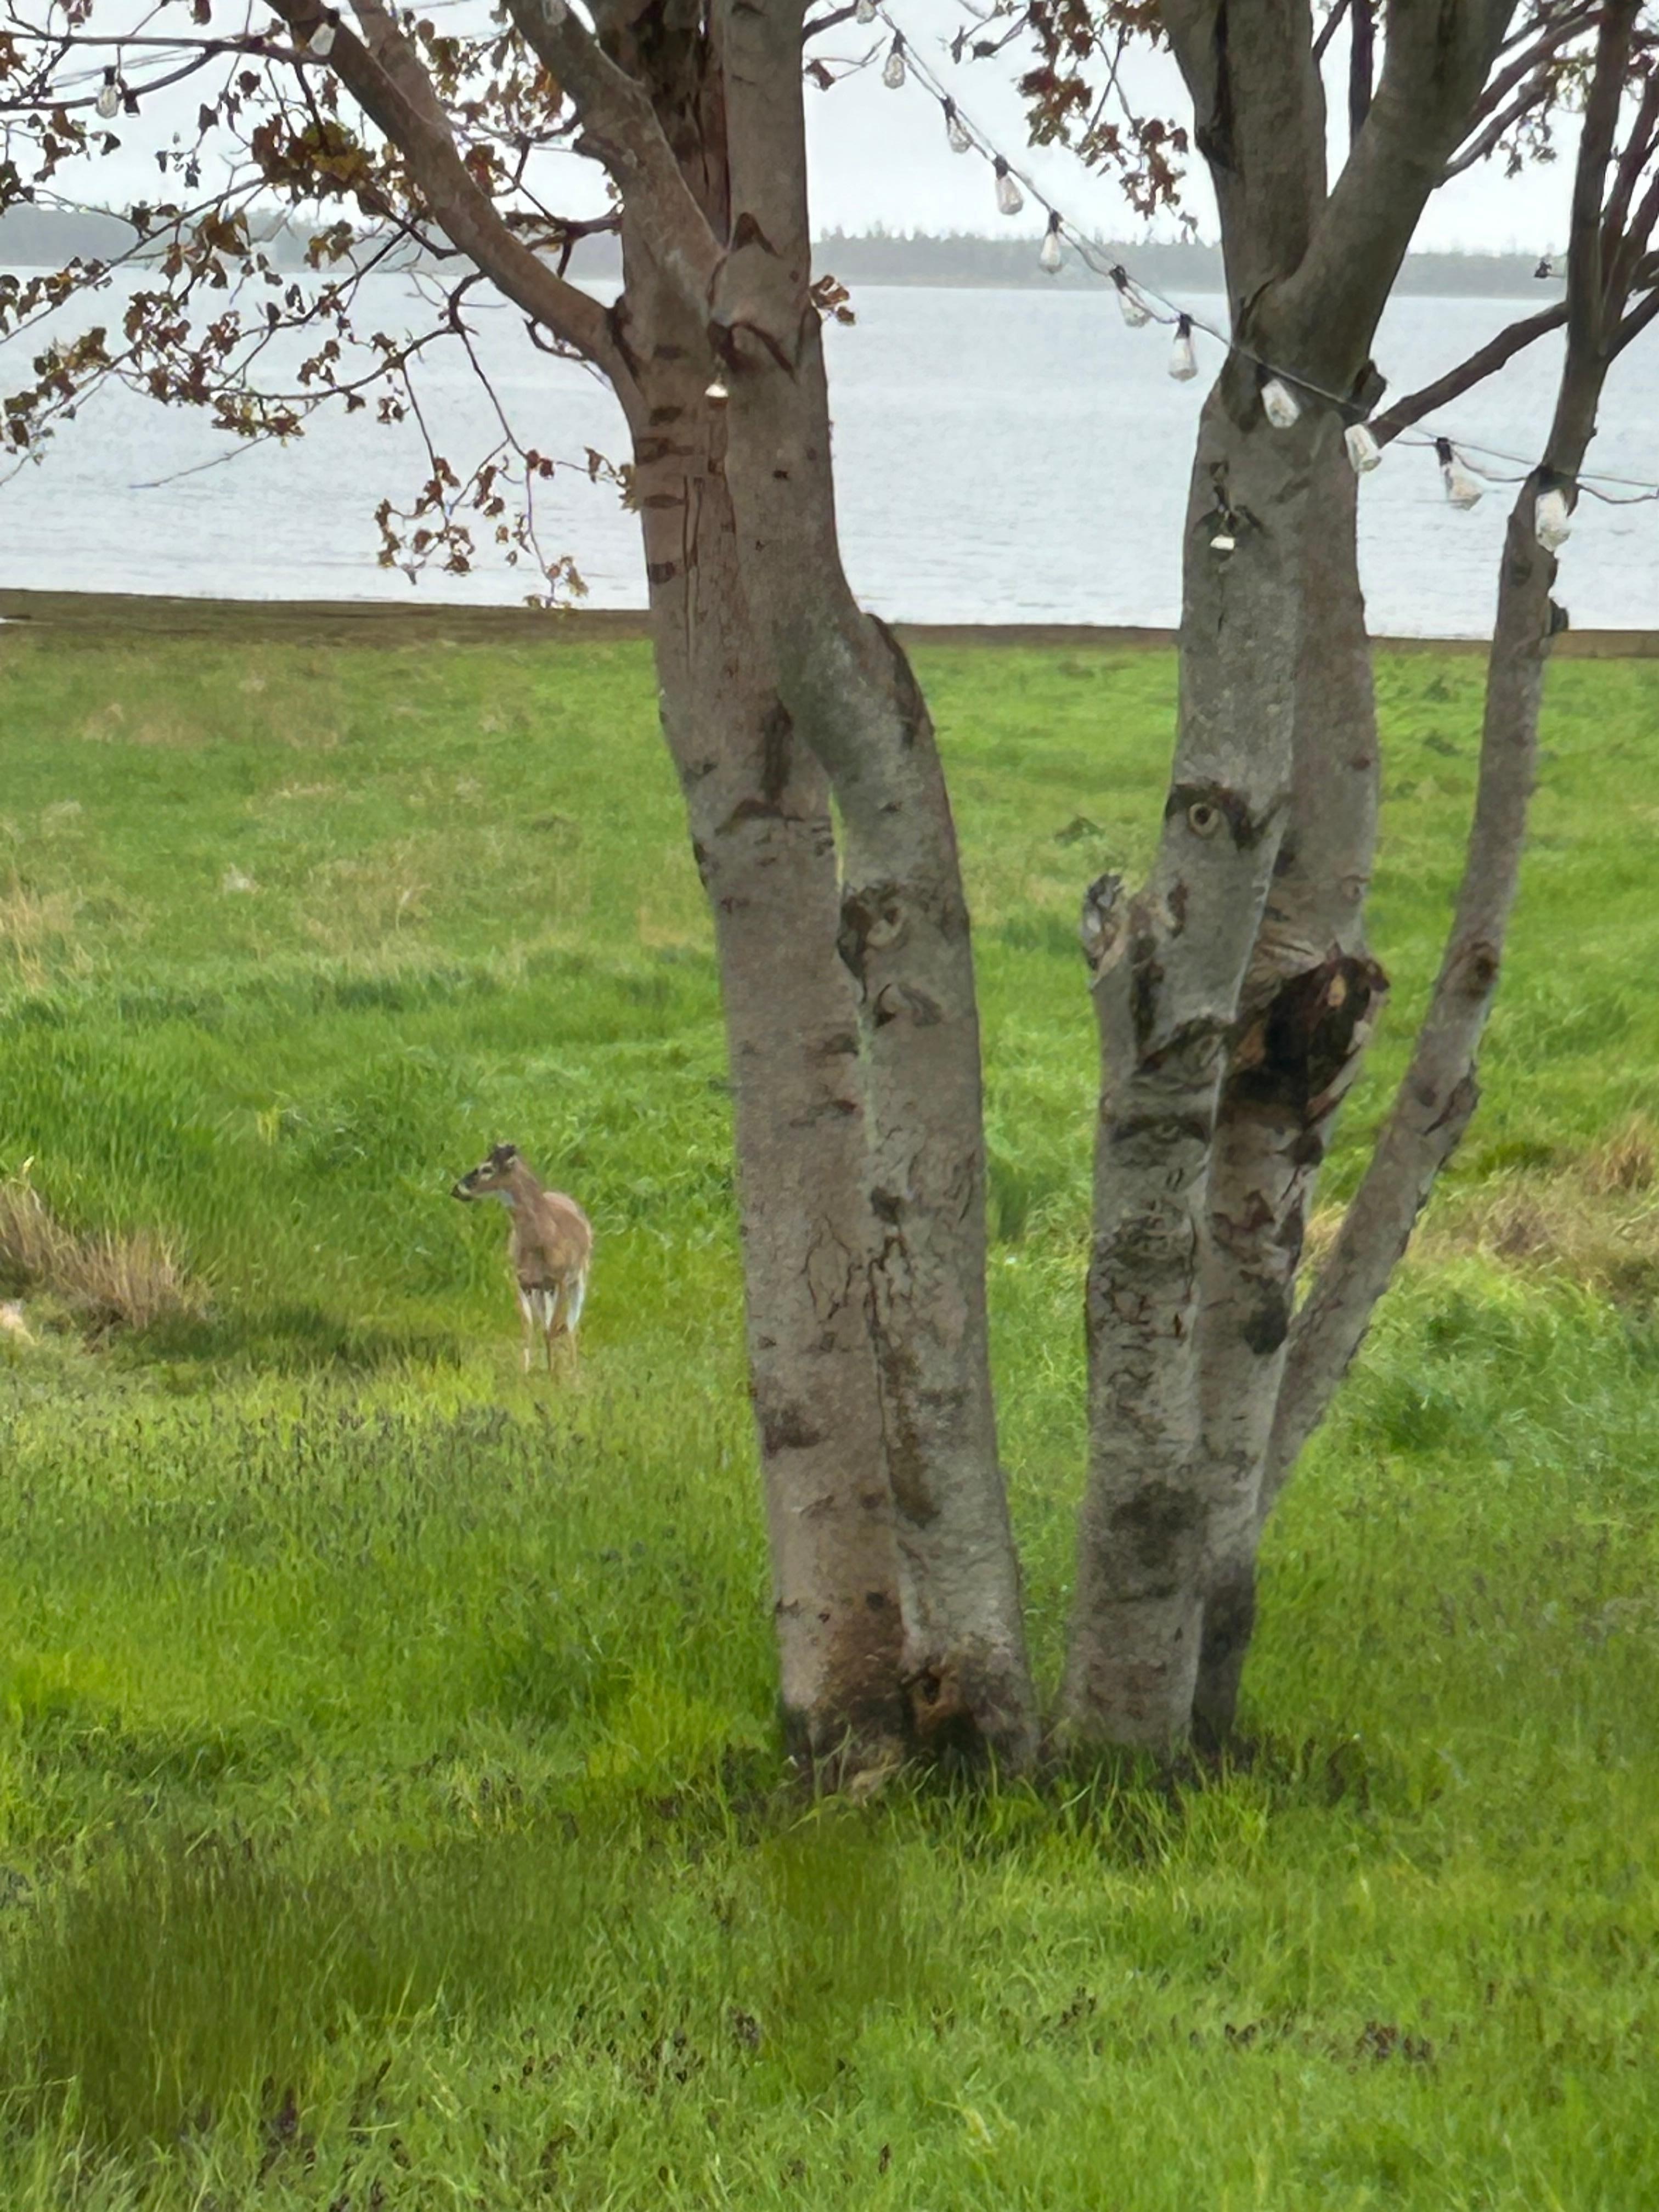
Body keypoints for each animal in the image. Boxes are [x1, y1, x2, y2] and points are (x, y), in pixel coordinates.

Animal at [451, 1144, 593, 1373]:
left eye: (487, 1168)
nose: (456, 1189)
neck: (542, 1240)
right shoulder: (521, 1280)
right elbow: (529, 1326)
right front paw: (525, 1372)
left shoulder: (561, 1279)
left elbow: (557, 1325)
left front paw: (558, 1373)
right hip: (543, 1289)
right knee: (546, 1323)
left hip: (579, 1276)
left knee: (572, 1323)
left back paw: (572, 1370)